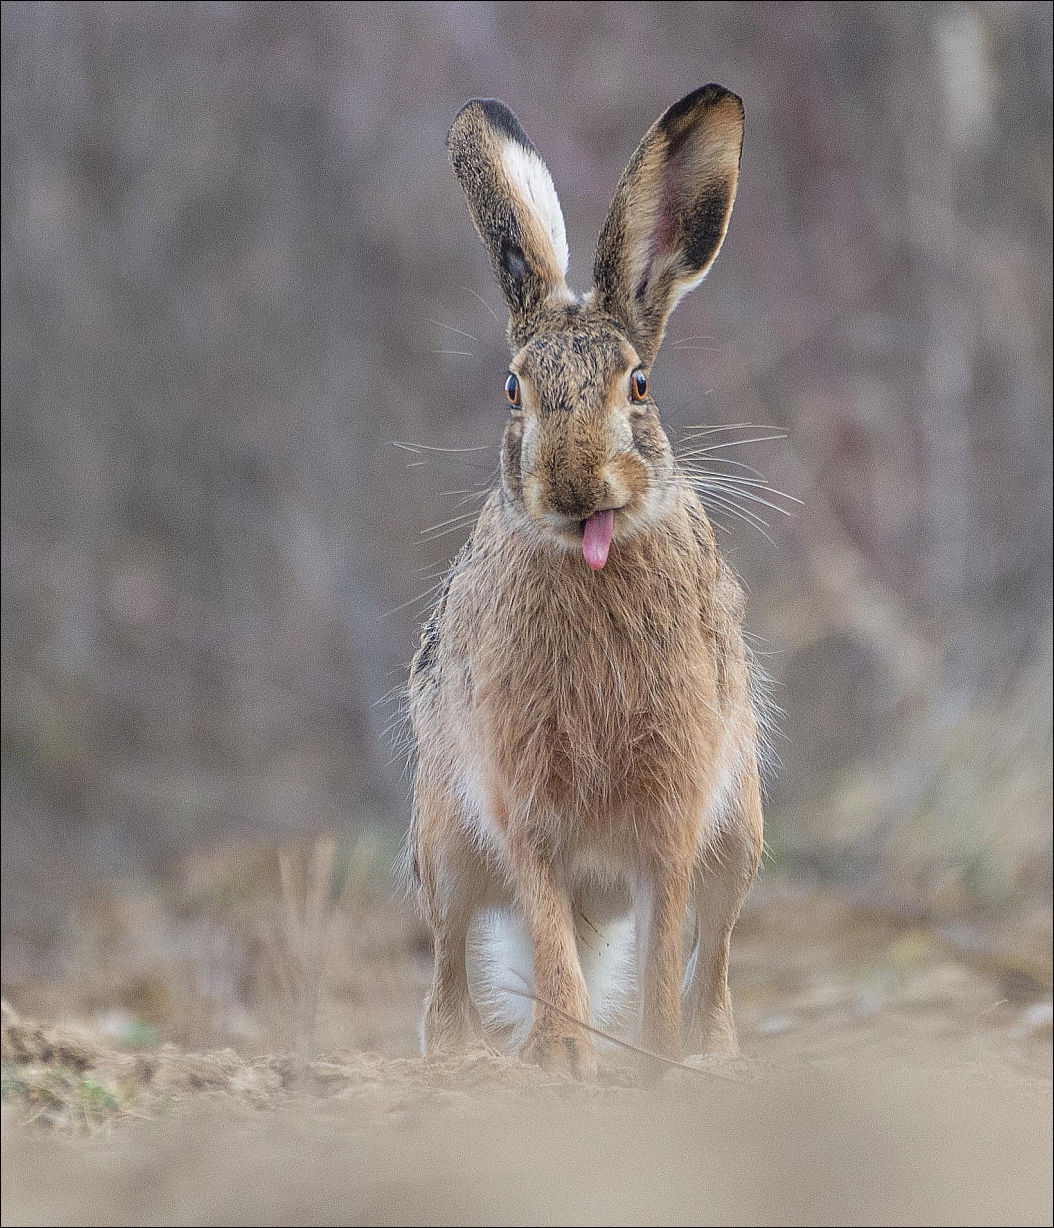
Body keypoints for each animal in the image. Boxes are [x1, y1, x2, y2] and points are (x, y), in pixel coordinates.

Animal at [407, 85, 764, 1078]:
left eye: (638, 385)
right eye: (512, 392)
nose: (573, 486)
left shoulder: (675, 807)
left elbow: (667, 935)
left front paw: (653, 1058)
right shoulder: (521, 798)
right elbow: (544, 924)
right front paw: (565, 1058)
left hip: (741, 840)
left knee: (715, 959)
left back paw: (713, 1057)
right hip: (442, 848)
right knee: (449, 971)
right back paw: (462, 1064)